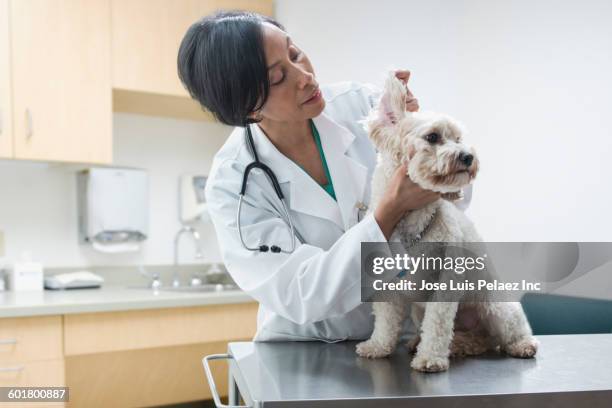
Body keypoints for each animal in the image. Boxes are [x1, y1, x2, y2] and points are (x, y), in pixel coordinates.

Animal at [356, 71, 536, 372]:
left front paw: (430, 358)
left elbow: (438, 322)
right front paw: (378, 345)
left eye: (458, 138)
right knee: (475, 339)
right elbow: (385, 319)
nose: (468, 156)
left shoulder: (446, 280)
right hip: (422, 312)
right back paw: (448, 344)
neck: (413, 222)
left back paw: (522, 345)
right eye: (432, 137)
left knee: (507, 332)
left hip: (495, 306)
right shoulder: (387, 282)